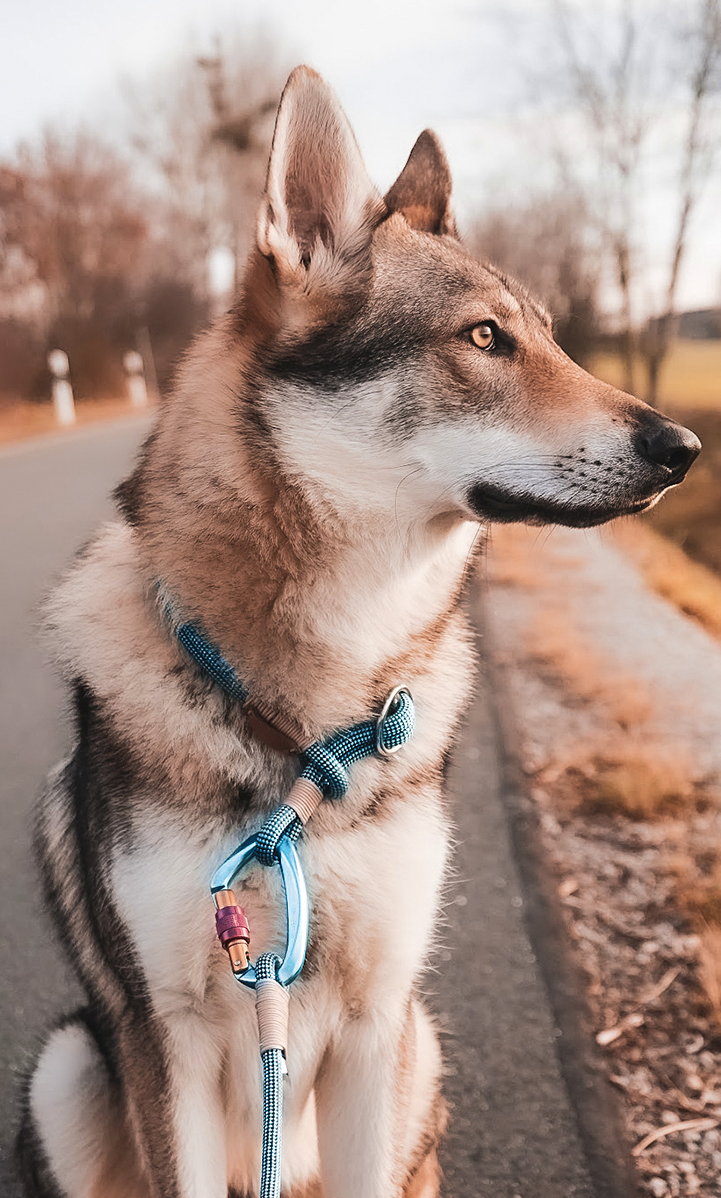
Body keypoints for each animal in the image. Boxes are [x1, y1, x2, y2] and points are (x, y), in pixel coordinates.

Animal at [19, 65, 699, 1198]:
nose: (685, 446)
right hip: (68, 1066)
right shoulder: (171, 1040)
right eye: (482, 337)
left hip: (418, 1050)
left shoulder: (376, 1025)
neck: (300, 735)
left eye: (552, 334)